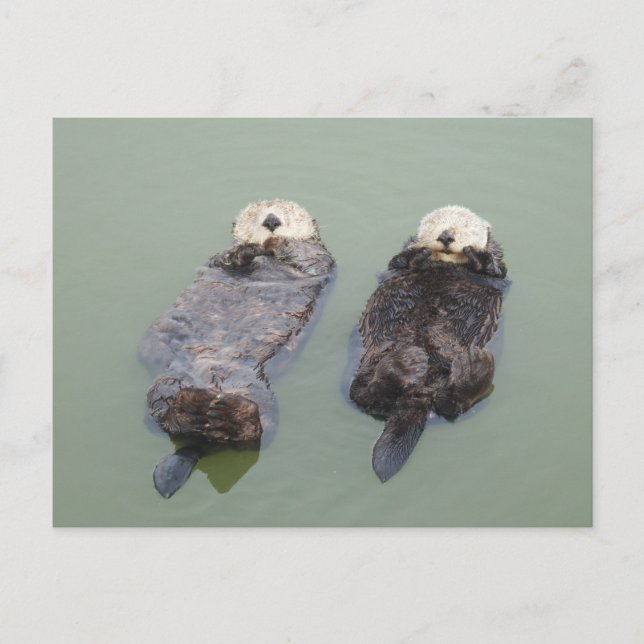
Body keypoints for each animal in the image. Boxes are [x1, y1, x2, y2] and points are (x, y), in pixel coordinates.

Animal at [139, 199, 335, 497]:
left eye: (289, 213)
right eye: (255, 213)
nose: (271, 220)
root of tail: (202, 442)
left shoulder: (321, 258)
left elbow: (308, 259)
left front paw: (279, 241)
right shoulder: (218, 258)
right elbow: (226, 259)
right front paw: (249, 249)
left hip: (261, 395)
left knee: (254, 436)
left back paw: (225, 414)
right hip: (167, 382)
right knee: (164, 418)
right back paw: (194, 407)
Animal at [349, 205, 509, 482]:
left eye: (465, 227)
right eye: (436, 224)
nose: (446, 236)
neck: (444, 263)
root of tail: (417, 396)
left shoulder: (501, 275)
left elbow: (496, 271)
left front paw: (476, 255)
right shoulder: (391, 268)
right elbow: (397, 262)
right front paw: (418, 253)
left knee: (453, 404)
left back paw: (473, 367)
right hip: (367, 363)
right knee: (364, 395)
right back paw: (405, 365)